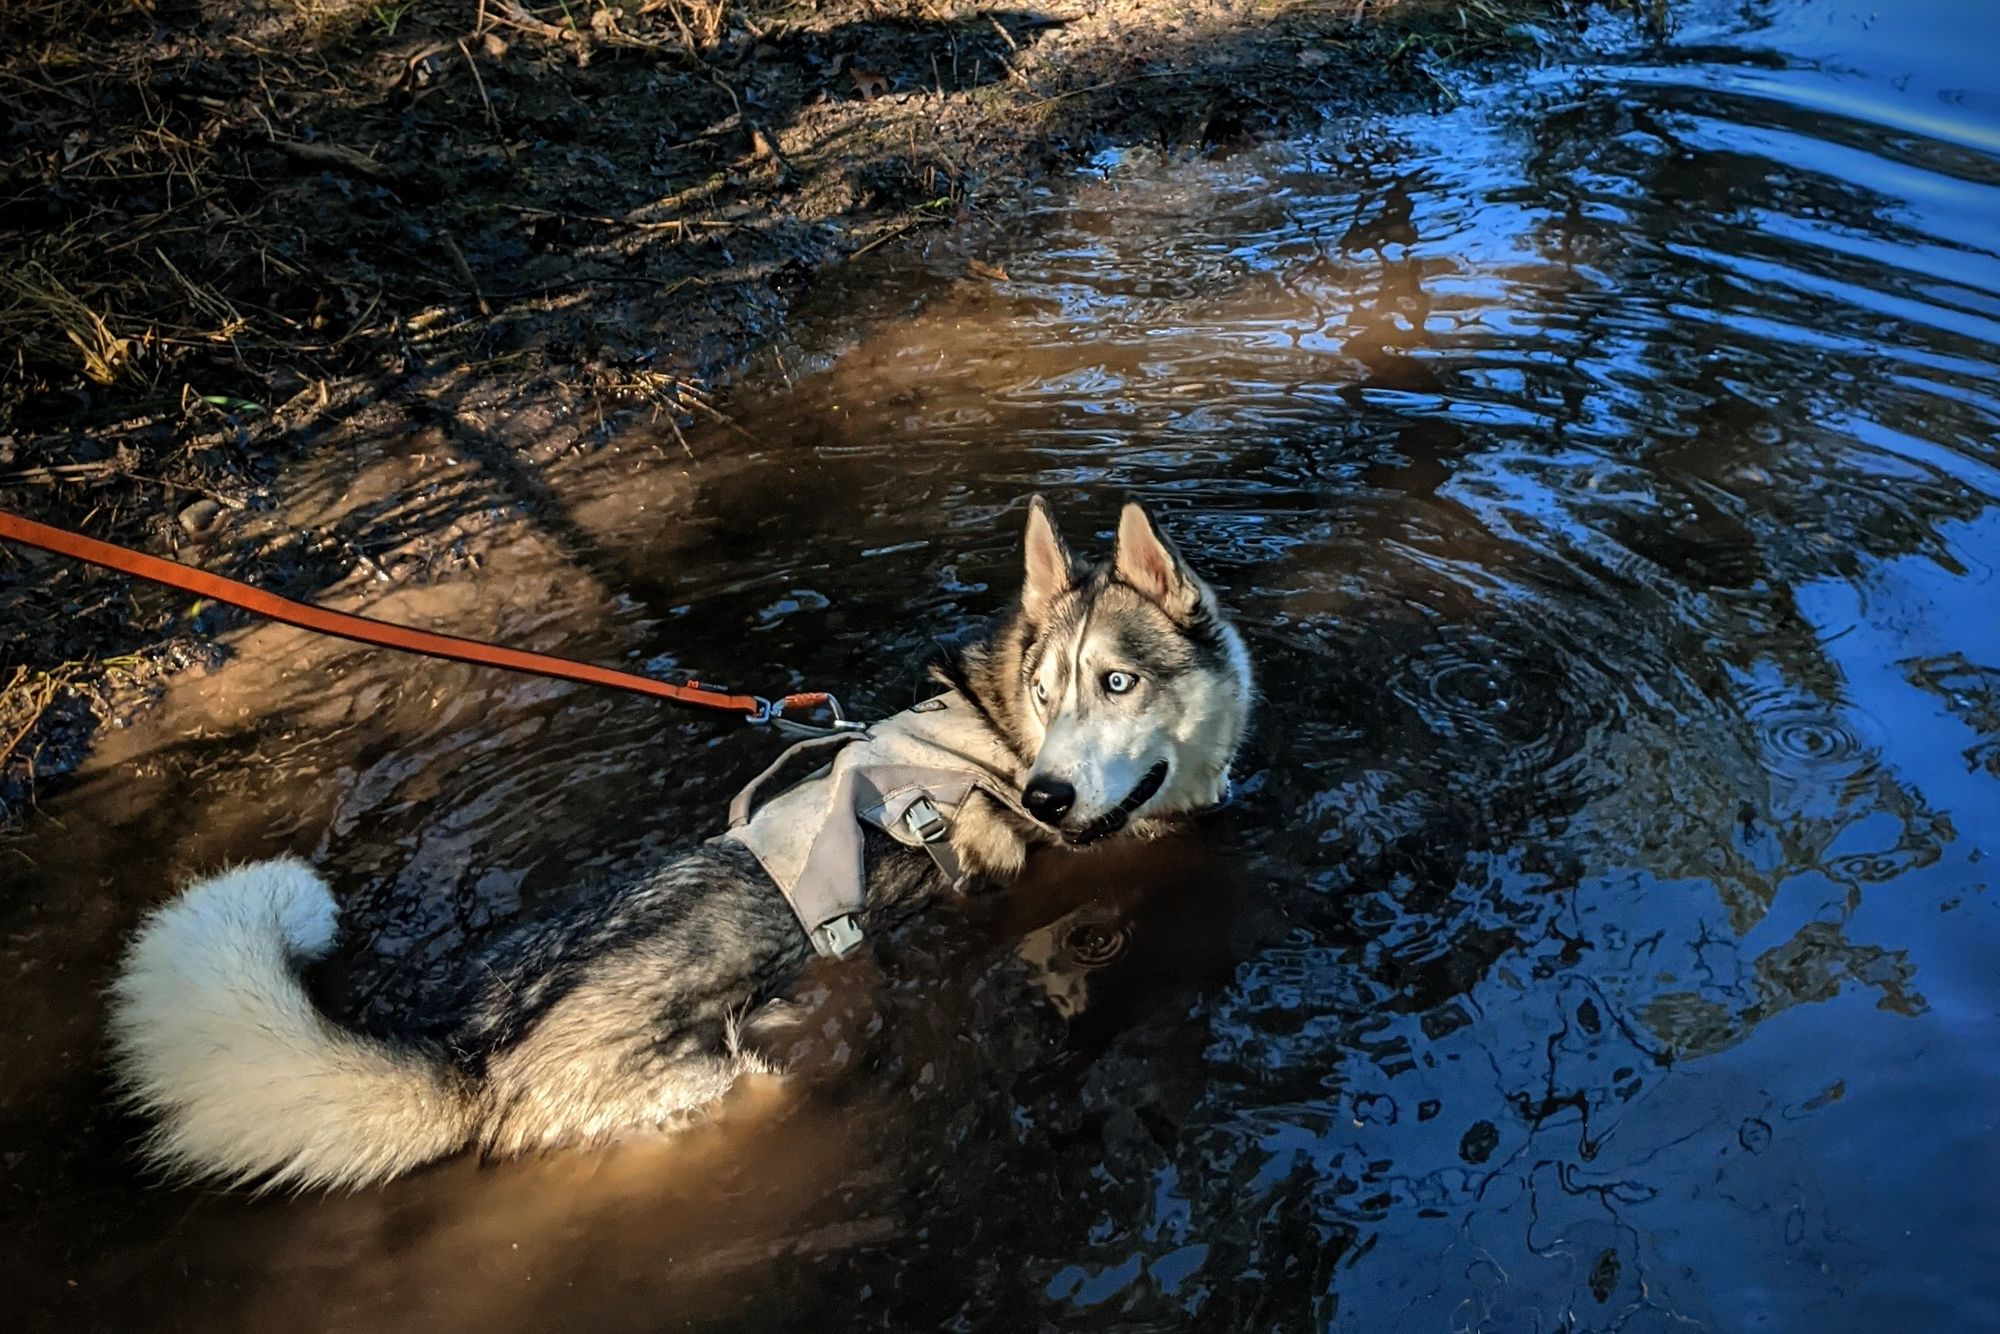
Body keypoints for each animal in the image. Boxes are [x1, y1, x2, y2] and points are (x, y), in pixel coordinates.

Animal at [105, 498, 1248, 1192]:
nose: (1048, 794)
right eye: (1049, 695)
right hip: (744, 1080)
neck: (1000, 739)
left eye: (1115, 683)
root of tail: (482, 1062)